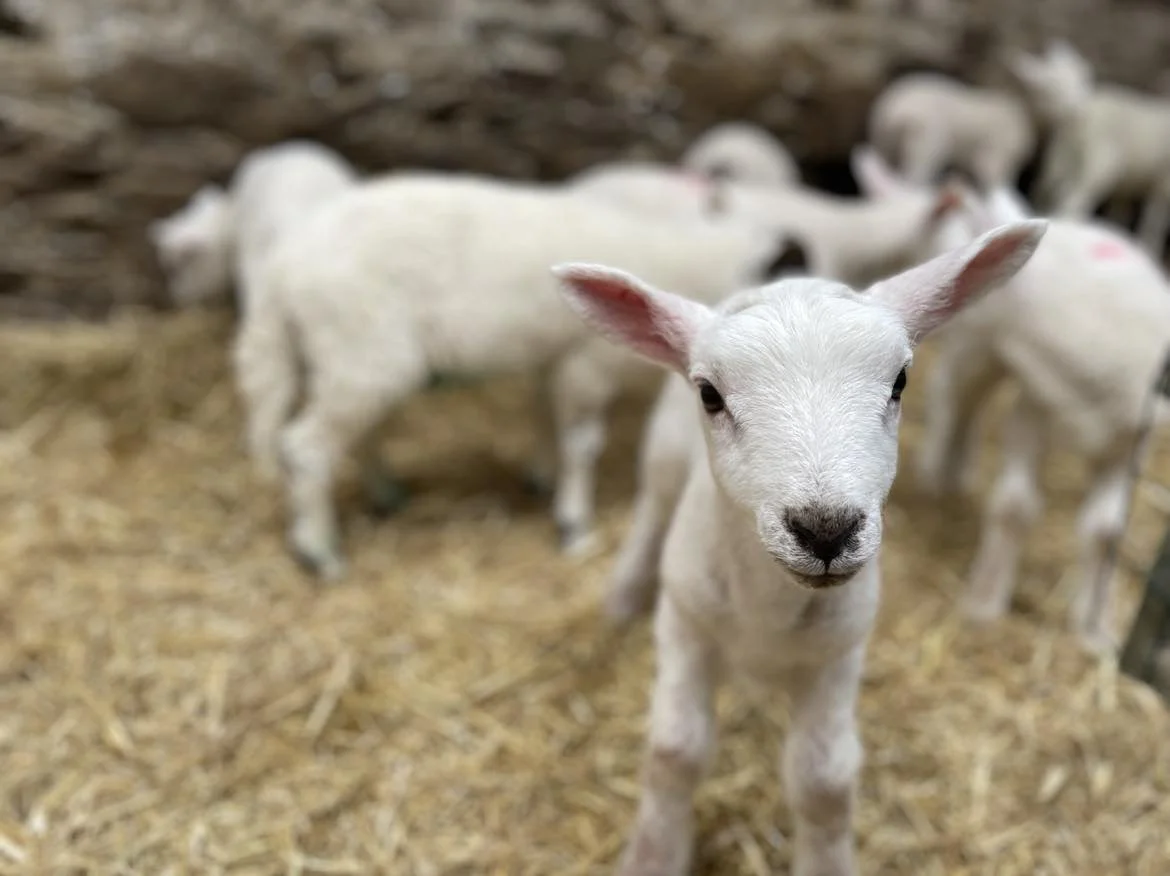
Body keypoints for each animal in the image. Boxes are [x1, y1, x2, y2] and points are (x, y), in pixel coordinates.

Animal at [232, 171, 795, 579]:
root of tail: (282, 269)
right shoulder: (585, 360)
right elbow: (581, 443)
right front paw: (573, 523)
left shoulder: (552, 359)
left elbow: (542, 414)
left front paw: (540, 476)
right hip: (362, 346)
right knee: (305, 447)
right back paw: (320, 552)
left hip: (350, 357)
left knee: (353, 431)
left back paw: (385, 493)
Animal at [553, 219, 1046, 876]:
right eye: (709, 394)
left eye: (901, 382)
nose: (825, 530)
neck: (768, 605)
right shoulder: (686, 623)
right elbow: (676, 750)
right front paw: (654, 855)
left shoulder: (838, 652)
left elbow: (824, 781)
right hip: (662, 460)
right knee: (651, 509)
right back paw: (623, 595)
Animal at [853, 147, 1170, 654]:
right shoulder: (1034, 404)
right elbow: (1015, 506)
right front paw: (984, 605)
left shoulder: (1132, 435)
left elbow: (1106, 530)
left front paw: (1093, 629)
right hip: (979, 352)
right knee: (956, 399)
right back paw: (942, 476)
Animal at [866, 71, 1036, 190]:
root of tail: (896, 114)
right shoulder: (998, 142)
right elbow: (990, 168)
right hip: (927, 130)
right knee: (920, 166)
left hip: (883, 134)